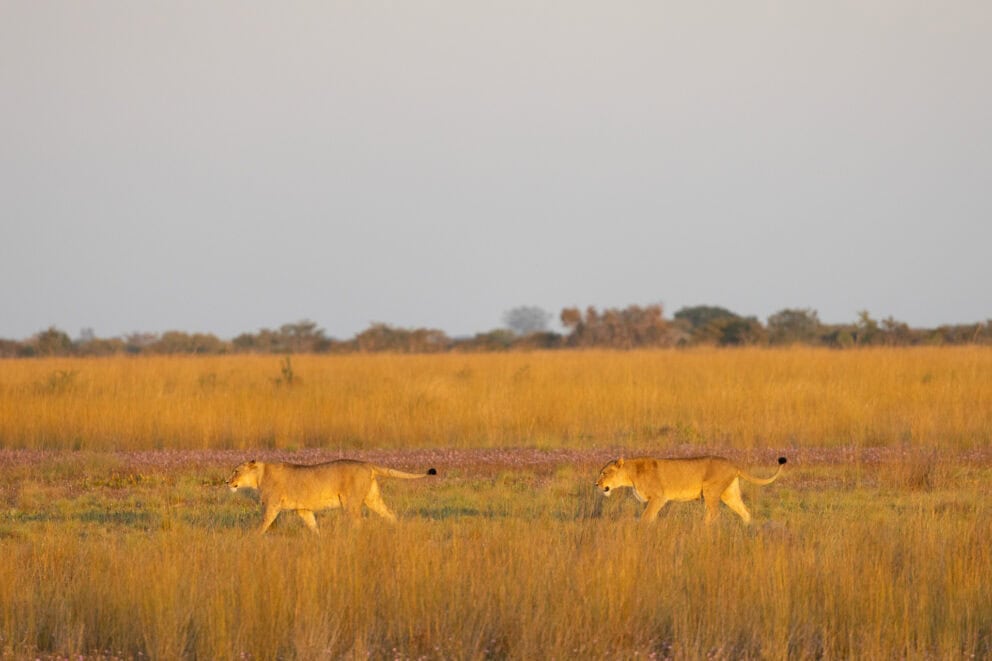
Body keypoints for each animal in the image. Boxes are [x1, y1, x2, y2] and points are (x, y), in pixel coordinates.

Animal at [227, 459, 438, 533]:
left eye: (236, 471)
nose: (227, 482)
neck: (259, 476)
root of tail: (367, 464)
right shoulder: (303, 509)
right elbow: (313, 525)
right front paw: (318, 539)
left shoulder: (272, 505)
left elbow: (263, 524)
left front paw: (251, 538)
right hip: (373, 499)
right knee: (390, 514)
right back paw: (398, 530)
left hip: (350, 503)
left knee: (359, 522)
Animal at [595, 455, 786, 524]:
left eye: (604, 472)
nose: (596, 485)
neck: (630, 474)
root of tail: (734, 464)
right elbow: (651, 516)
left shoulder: (659, 497)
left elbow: (646, 516)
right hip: (729, 494)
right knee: (745, 511)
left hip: (710, 491)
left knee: (714, 513)